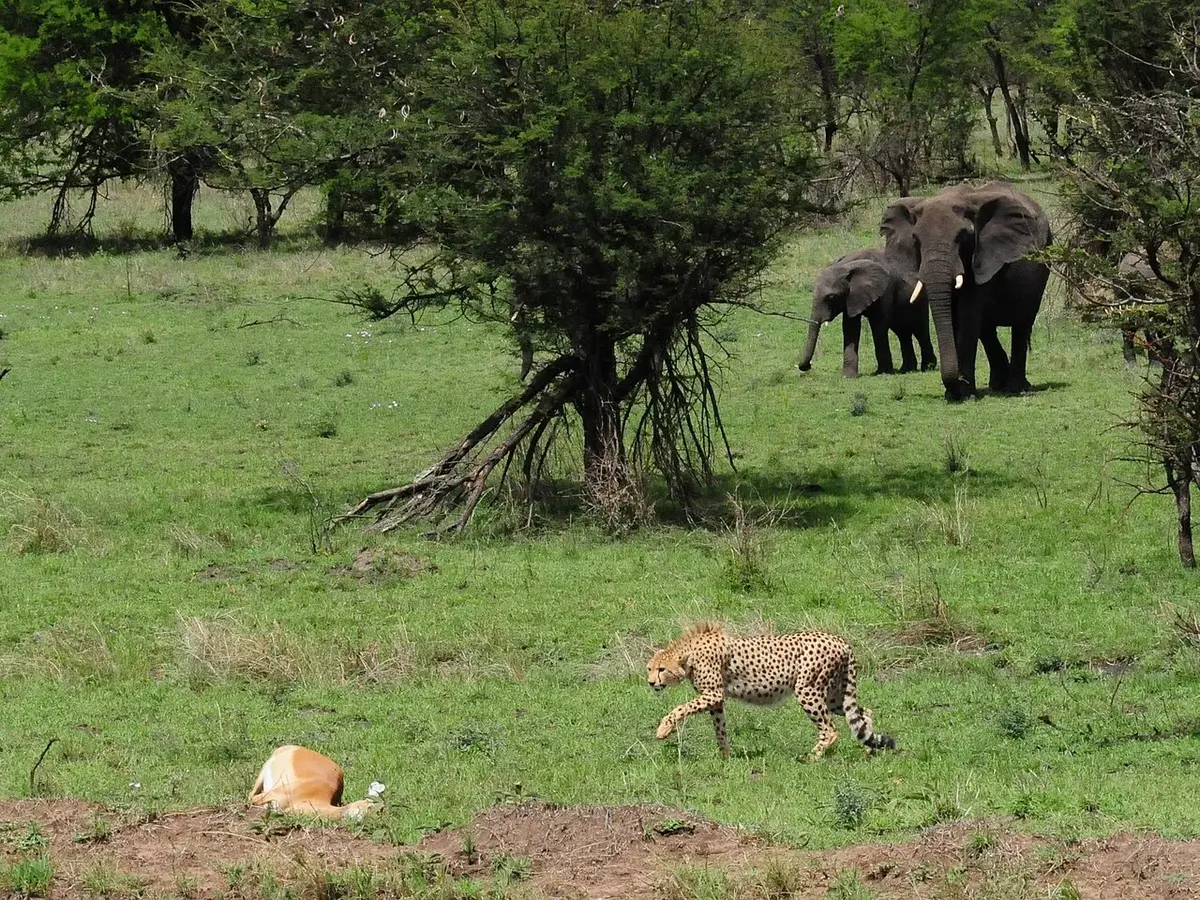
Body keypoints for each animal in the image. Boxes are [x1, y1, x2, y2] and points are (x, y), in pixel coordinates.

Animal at [646, 622, 896, 760]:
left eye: (662, 669)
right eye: (649, 668)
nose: (650, 683)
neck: (689, 652)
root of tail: (840, 639)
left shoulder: (713, 694)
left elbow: (680, 708)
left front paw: (663, 729)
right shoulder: (715, 699)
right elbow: (720, 729)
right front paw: (725, 757)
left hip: (808, 690)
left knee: (830, 729)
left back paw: (811, 758)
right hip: (834, 695)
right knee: (864, 714)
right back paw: (869, 751)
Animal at [797, 247, 936, 378]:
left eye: (831, 297)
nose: (807, 366)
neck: (847, 265)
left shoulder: (885, 289)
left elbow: (878, 326)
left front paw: (883, 373)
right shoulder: (851, 296)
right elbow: (850, 328)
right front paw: (848, 377)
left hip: (920, 297)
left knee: (920, 330)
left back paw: (928, 367)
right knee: (902, 332)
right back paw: (906, 370)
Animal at [880, 182, 1052, 402]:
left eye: (963, 237)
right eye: (916, 240)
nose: (955, 387)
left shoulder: (982, 256)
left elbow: (968, 315)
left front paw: (965, 394)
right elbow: (955, 317)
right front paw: (958, 393)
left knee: (1021, 324)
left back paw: (1016, 388)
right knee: (987, 329)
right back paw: (997, 384)